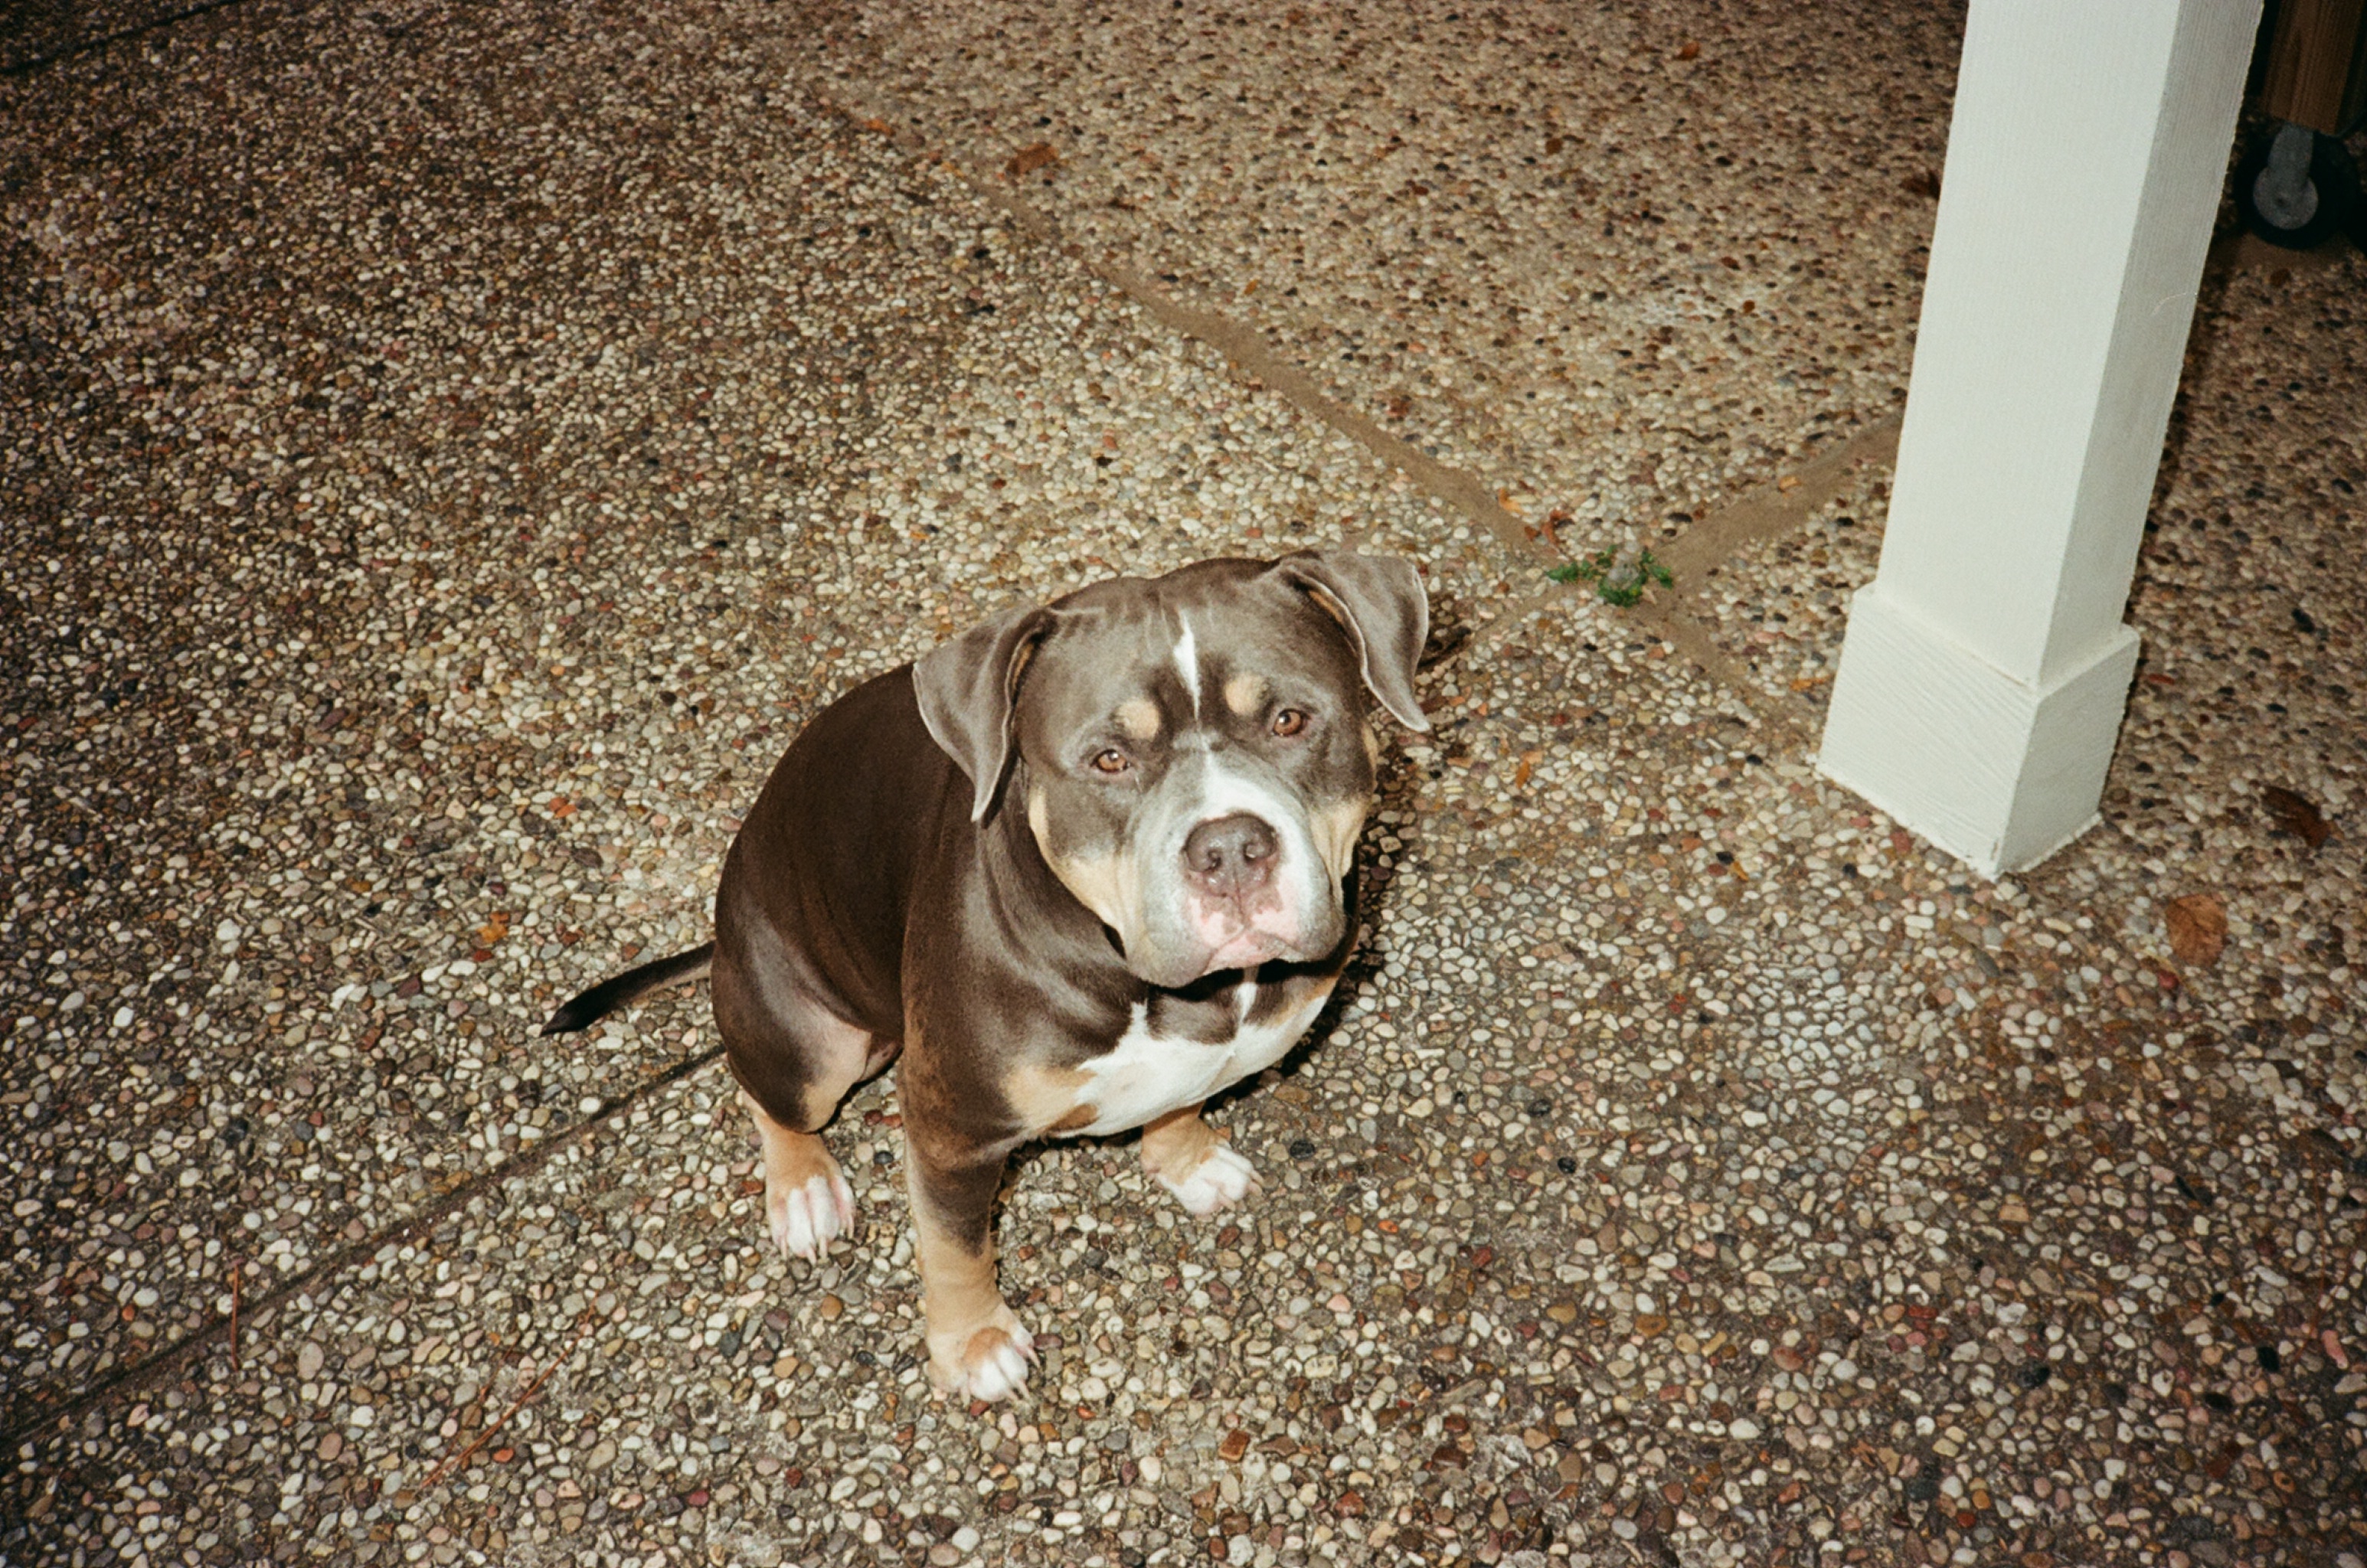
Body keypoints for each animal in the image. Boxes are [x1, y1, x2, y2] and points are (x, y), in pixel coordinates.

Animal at [543, 551, 1429, 1400]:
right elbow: (954, 1247)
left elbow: (1183, 1098)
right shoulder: (952, 1132)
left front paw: (1186, 1159)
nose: (1231, 848)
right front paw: (973, 1346)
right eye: (1108, 759)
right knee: (768, 1095)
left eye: (1290, 720)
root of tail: (722, 935)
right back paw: (803, 1189)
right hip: (813, 1042)